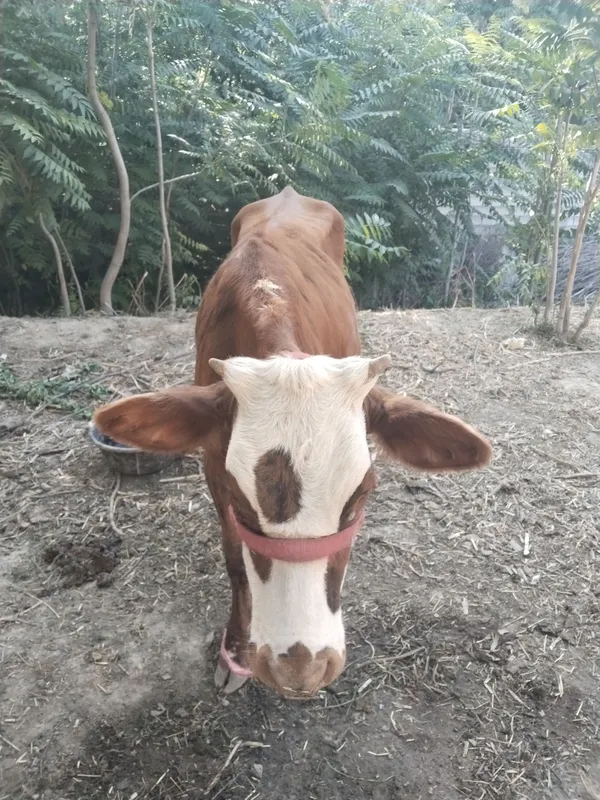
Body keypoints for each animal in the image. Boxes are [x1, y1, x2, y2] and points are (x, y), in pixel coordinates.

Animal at [93, 187, 492, 700]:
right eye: (241, 504)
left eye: (361, 497)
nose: (300, 668)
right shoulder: (213, 469)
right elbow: (235, 562)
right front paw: (235, 651)